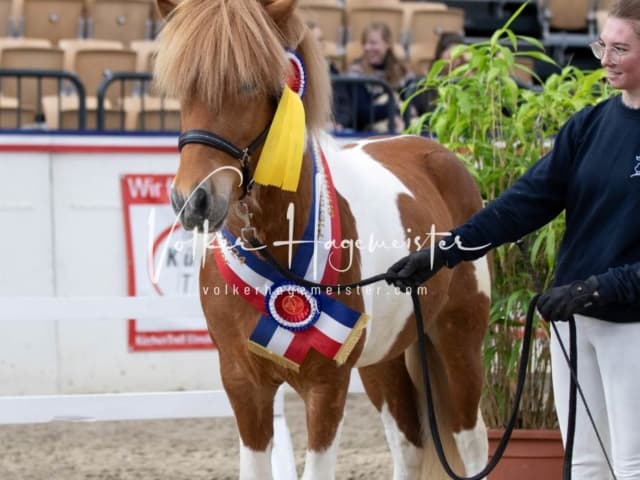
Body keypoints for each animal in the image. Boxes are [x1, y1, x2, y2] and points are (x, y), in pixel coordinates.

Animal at [154, 1, 490, 478]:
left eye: (249, 83)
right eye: (183, 88)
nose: (193, 199)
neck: (277, 250)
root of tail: (440, 155)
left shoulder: (327, 383)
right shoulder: (242, 382)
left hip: (457, 341)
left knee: (472, 441)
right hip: (385, 358)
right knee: (409, 444)